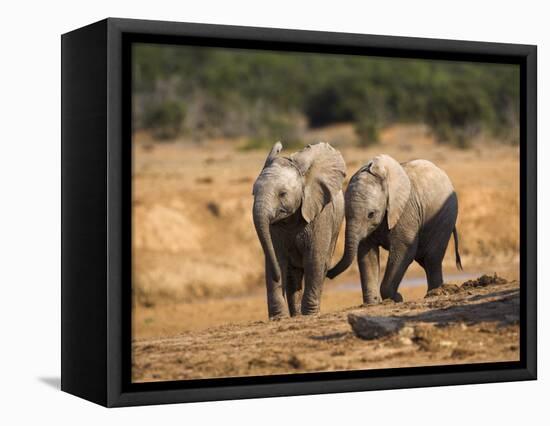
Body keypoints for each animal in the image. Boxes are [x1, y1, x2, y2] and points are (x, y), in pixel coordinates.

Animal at [253, 141, 348, 318]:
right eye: (253, 192)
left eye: (282, 194)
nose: (279, 146)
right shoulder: (274, 228)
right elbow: (275, 257)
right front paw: (278, 318)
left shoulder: (320, 215)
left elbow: (314, 258)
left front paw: (309, 314)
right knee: (293, 275)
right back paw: (295, 315)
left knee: (321, 266)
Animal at [330, 155, 464, 304]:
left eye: (371, 214)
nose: (328, 273)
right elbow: (366, 253)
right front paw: (372, 303)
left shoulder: (406, 210)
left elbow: (404, 249)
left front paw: (397, 298)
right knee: (425, 259)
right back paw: (436, 291)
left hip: (445, 217)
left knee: (432, 258)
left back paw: (435, 293)